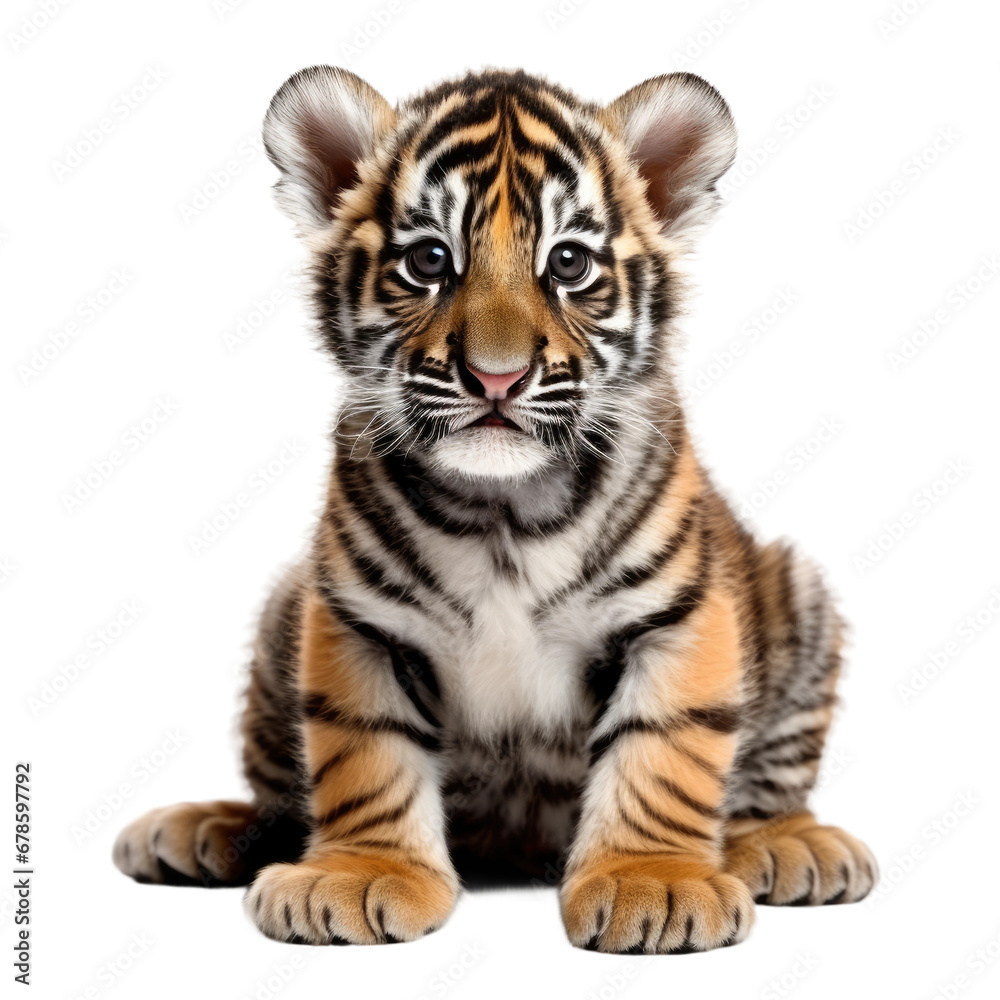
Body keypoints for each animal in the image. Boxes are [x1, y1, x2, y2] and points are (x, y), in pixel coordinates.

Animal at [112, 66, 878, 953]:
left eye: (569, 263)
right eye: (429, 260)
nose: (497, 378)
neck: (505, 509)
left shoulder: (677, 614)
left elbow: (664, 753)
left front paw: (652, 882)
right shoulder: (360, 622)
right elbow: (364, 757)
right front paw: (360, 873)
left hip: (797, 594)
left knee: (760, 790)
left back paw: (785, 845)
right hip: (282, 613)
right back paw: (202, 829)